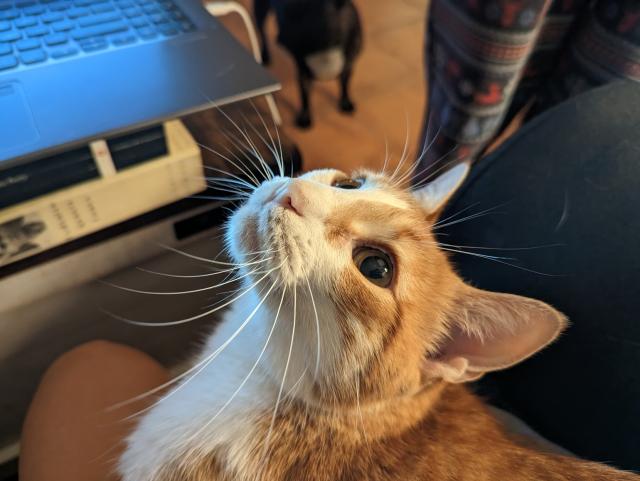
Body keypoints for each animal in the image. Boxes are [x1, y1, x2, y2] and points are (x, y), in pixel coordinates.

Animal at [256, 0, 364, 128]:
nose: (279, 37)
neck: (325, 50)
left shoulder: (348, 65)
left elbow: (345, 84)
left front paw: (345, 102)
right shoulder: (303, 72)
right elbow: (305, 95)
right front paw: (305, 116)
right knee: (261, 29)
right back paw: (264, 55)